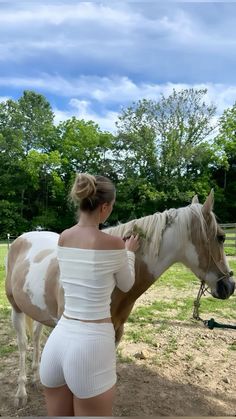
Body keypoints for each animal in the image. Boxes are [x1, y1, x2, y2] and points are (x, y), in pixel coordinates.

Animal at [5, 192, 234, 408]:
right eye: (221, 237)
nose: (229, 286)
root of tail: (23, 238)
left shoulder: (115, 331)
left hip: (39, 311)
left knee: (35, 338)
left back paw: (36, 378)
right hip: (17, 310)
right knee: (23, 345)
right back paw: (21, 392)